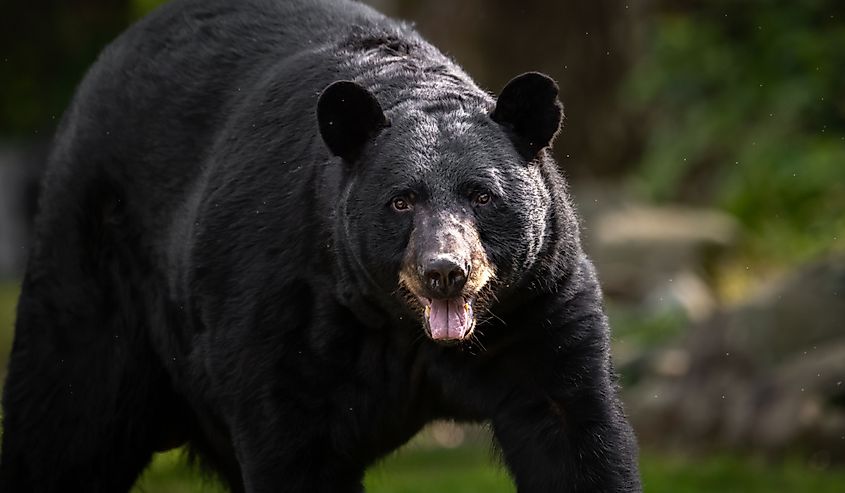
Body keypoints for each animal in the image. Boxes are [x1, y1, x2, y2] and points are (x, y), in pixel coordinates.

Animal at [0, 0, 640, 488]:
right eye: (401, 201)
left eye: (482, 196)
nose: (444, 271)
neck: (401, 325)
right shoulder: (287, 307)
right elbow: (291, 439)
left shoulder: (537, 303)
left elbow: (571, 426)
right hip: (93, 267)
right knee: (67, 418)